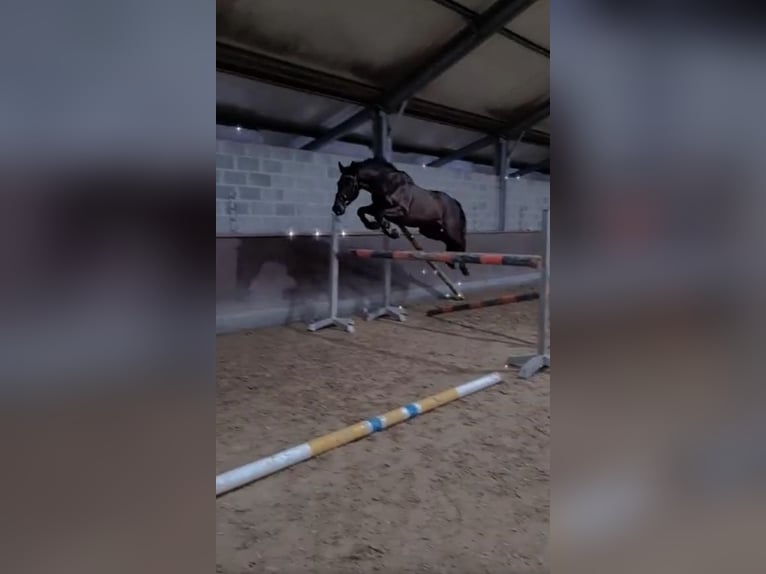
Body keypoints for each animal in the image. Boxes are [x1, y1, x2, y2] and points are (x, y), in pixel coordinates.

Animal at [332, 156, 472, 276]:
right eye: (338, 183)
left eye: (348, 182)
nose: (337, 208)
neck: (386, 183)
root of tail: (455, 202)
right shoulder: (376, 206)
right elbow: (361, 211)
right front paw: (376, 226)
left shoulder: (400, 210)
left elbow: (379, 214)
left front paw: (391, 231)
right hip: (430, 231)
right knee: (449, 243)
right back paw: (451, 261)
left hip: (451, 230)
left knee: (461, 242)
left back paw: (464, 267)